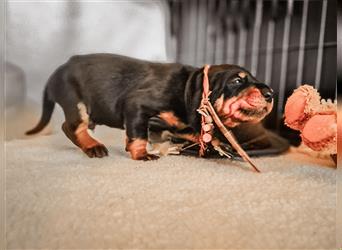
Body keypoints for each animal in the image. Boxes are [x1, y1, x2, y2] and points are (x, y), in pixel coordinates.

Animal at [26, 54, 272, 160]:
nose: (271, 93)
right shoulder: (137, 106)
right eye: (237, 81)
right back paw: (93, 146)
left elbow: (194, 132)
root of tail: (56, 72)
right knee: (71, 127)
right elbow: (138, 135)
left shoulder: (177, 123)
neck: (186, 88)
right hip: (76, 102)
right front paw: (142, 154)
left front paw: (222, 144)